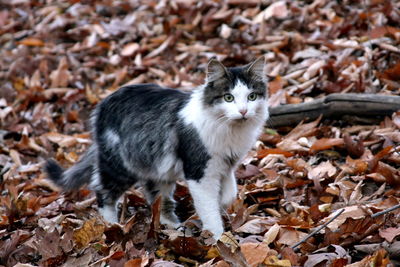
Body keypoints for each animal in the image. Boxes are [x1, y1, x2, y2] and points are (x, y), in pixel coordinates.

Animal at [45, 57, 270, 241]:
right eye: (228, 98)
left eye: (251, 97)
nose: (243, 111)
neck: (231, 130)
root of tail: (102, 105)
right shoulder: (199, 171)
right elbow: (209, 207)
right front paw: (218, 238)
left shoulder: (226, 164)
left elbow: (230, 192)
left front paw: (223, 202)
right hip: (120, 164)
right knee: (103, 191)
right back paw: (111, 225)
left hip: (158, 167)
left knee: (157, 198)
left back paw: (171, 226)